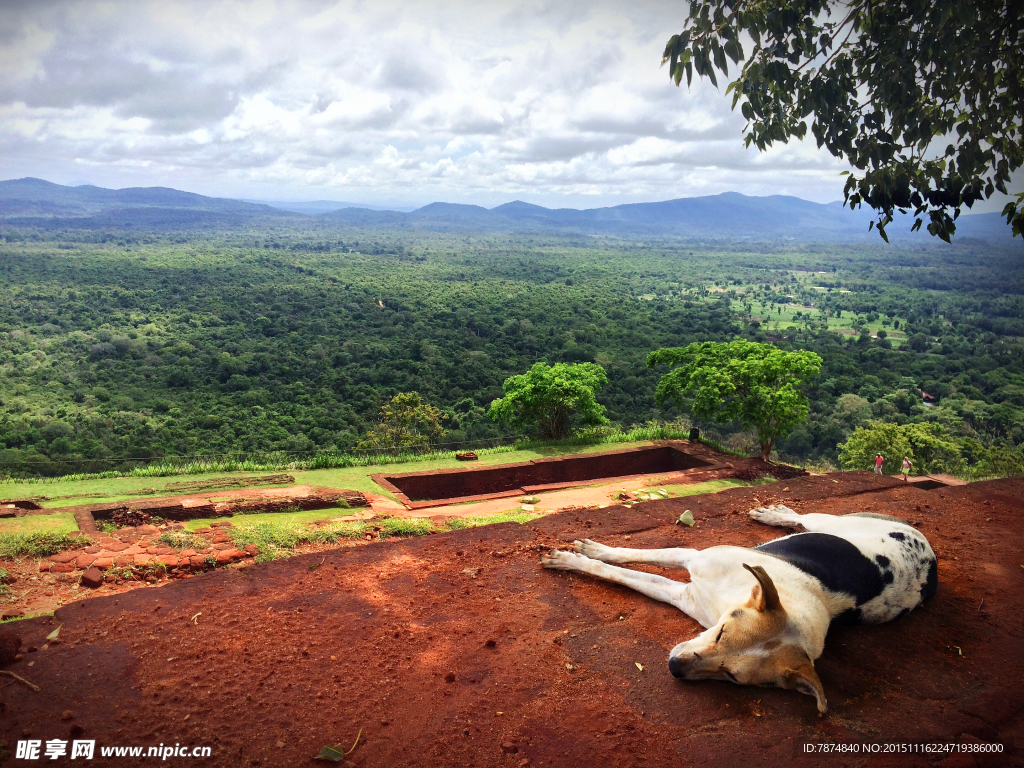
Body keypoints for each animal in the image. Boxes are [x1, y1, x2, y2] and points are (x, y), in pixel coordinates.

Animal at [544, 505, 937, 716]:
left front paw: (577, 560)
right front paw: (586, 553)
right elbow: (628, 557)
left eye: (732, 678)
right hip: (833, 523)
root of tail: (929, 560)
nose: (674, 668)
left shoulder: (683, 594)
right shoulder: (691, 556)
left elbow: (624, 574)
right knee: (805, 517)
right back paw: (775, 514)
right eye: (720, 633)